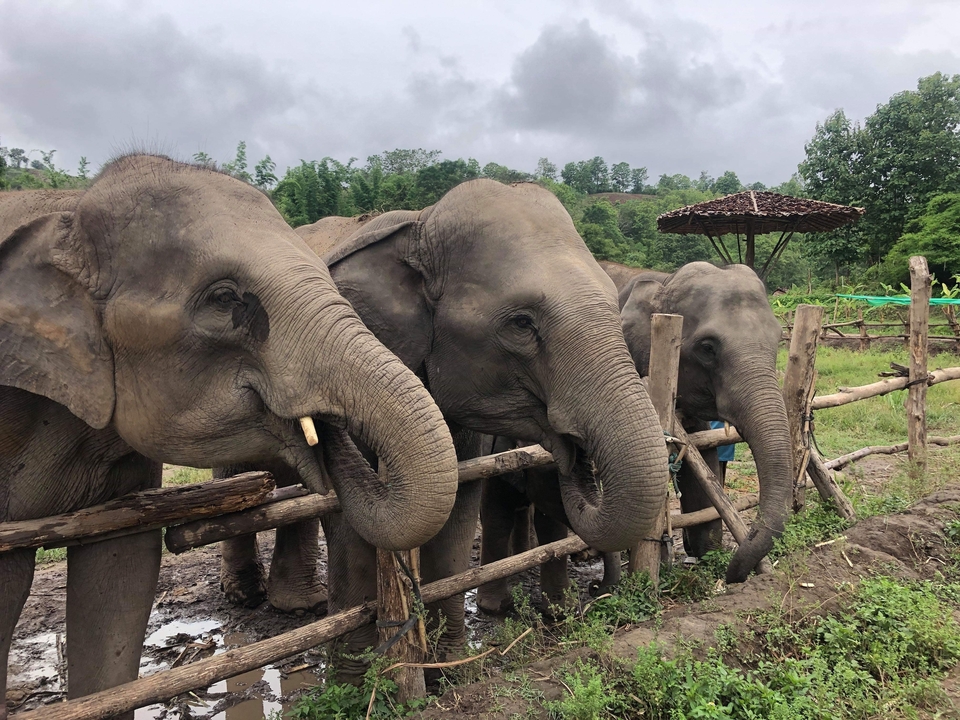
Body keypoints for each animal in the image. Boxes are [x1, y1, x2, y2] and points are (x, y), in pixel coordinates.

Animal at [217, 179, 670, 675]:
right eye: (521, 323)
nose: (574, 450)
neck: (421, 222)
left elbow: (459, 507)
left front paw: (451, 667)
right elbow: (353, 523)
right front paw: (360, 678)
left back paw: (300, 605)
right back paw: (253, 598)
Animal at [477, 260, 792, 611]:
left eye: (779, 338)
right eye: (708, 348)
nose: (735, 576)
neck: (663, 283)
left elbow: (702, 456)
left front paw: (705, 555)